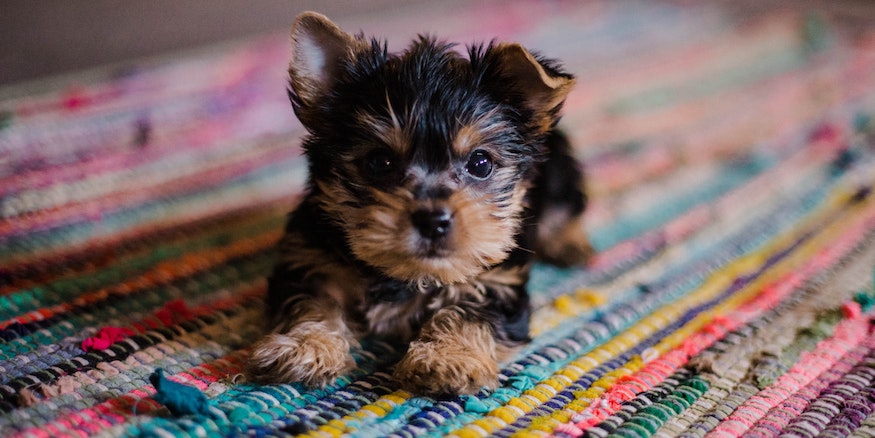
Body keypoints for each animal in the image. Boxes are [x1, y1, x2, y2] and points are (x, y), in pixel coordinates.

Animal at [248, 12, 596, 396]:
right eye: (379, 162)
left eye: (480, 163)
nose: (433, 221)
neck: (408, 275)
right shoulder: (310, 257)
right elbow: (312, 300)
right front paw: (306, 346)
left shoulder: (497, 279)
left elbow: (469, 311)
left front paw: (448, 358)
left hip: (560, 170)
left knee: (566, 205)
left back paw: (570, 244)